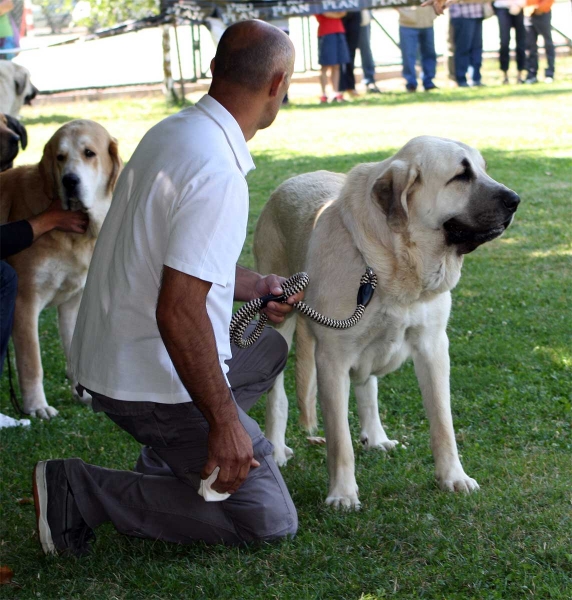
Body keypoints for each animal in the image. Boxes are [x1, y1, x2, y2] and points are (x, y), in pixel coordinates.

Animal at [0, 117, 122, 418]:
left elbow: (75, 352)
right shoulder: (25, 301)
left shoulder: (74, 303)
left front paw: (84, 396)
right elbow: (32, 363)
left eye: (89, 153)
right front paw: (37, 406)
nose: (70, 180)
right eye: (60, 157)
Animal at [254, 137, 520, 510]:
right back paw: (276, 448)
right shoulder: (332, 359)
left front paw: (453, 477)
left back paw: (377, 437)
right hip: (278, 322)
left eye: (484, 169)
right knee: (277, 395)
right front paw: (342, 493)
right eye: (461, 175)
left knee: (367, 386)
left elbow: (443, 422)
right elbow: (340, 439)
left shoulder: (434, 347)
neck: (393, 261)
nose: (515, 200)